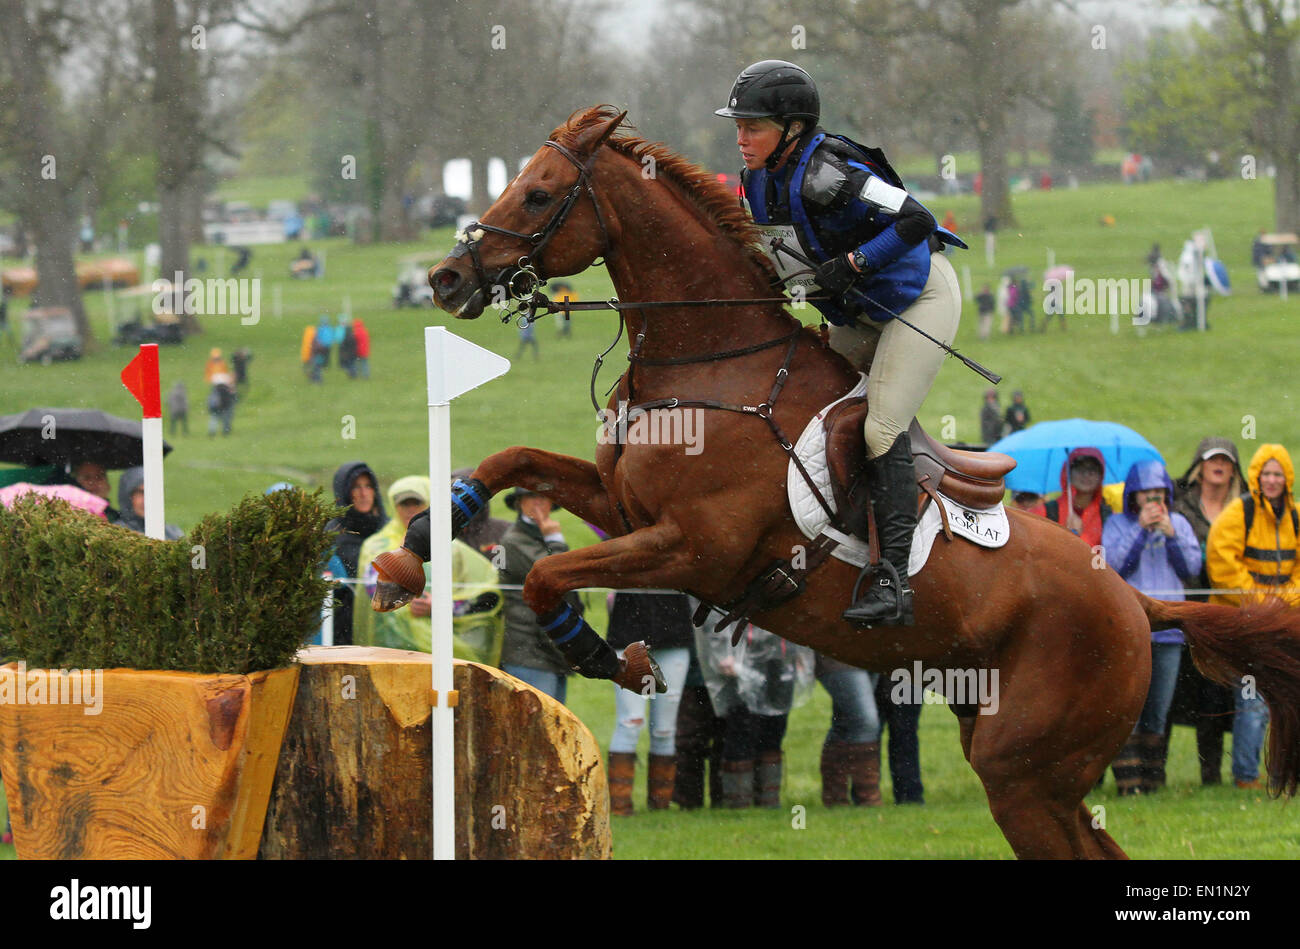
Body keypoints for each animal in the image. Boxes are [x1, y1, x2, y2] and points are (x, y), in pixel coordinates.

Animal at [421, 109, 1300, 857]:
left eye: (537, 192)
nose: (445, 278)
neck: (712, 362)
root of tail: (1139, 601)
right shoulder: (625, 508)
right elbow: (515, 464)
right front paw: (437, 525)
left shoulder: (693, 548)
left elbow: (547, 572)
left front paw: (615, 658)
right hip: (1021, 757)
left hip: (1023, 773)